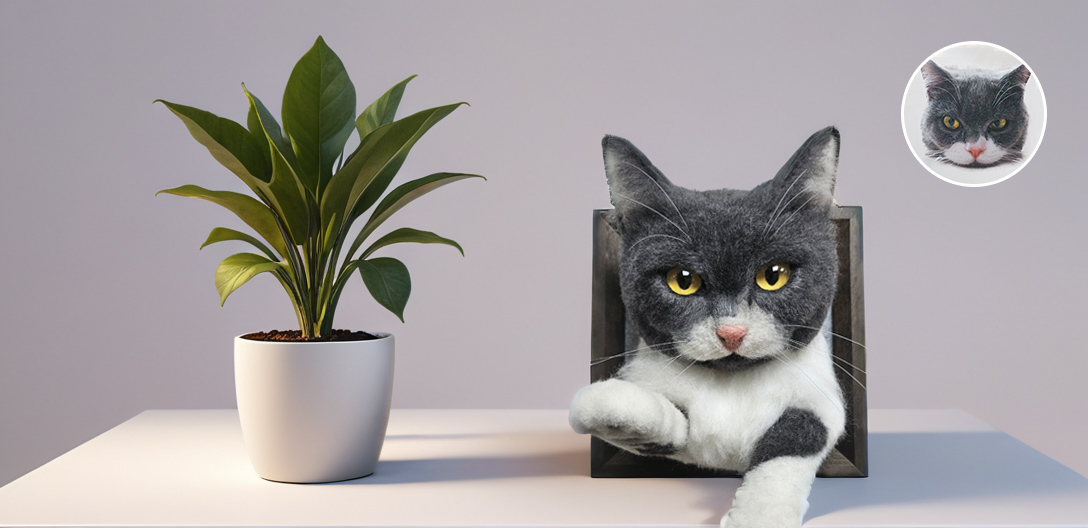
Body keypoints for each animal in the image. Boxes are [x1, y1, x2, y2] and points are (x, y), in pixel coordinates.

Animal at [574, 127, 844, 526]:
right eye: (682, 280)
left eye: (774, 275)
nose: (731, 332)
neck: (730, 386)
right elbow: (656, 419)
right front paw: (618, 416)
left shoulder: (819, 395)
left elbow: (797, 436)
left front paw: (759, 513)